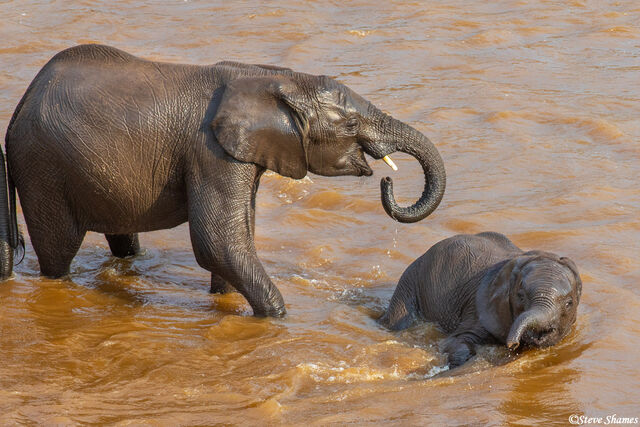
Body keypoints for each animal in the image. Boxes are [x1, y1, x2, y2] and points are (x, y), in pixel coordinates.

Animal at [1, 44, 446, 317]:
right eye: (351, 124)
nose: (386, 182)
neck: (268, 79)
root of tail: (21, 105)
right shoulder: (210, 151)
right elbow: (217, 241)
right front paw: (278, 318)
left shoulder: (238, 155)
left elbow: (236, 235)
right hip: (43, 169)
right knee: (58, 253)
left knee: (122, 240)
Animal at [380, 232, 582, 367]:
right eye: (521, 296)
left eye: (568, 303)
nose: (512, 344)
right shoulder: (479, 308)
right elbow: (457, 340)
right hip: (408, 284)